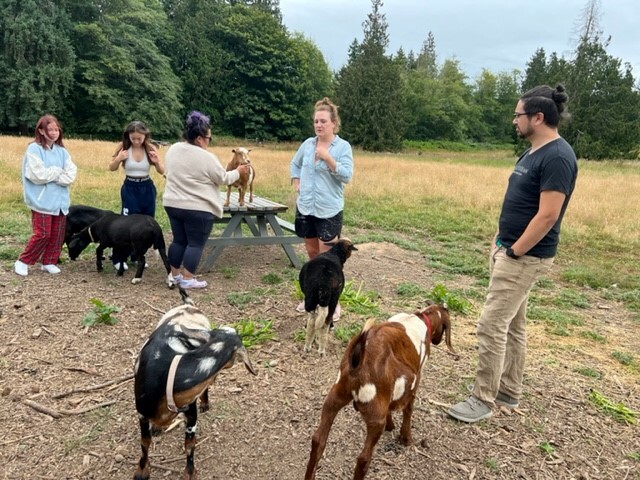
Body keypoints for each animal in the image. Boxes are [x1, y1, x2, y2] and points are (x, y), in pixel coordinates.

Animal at [134, 286, 256, 478]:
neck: (166, 374)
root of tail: (188, 305)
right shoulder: (142, 413)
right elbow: (144, 441)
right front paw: (141, 471)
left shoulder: (190, 411)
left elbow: (190, 444)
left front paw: (189, 472)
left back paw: (204, 403)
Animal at [304, 304, 456, 480]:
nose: (437, 340)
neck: (421, 318)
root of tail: (358, 359)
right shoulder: (415, 381)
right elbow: (408, 410)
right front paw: (406, 438)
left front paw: (391, 426)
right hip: (375, 417)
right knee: (363, 458)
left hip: (334, 397)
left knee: (318, 441)